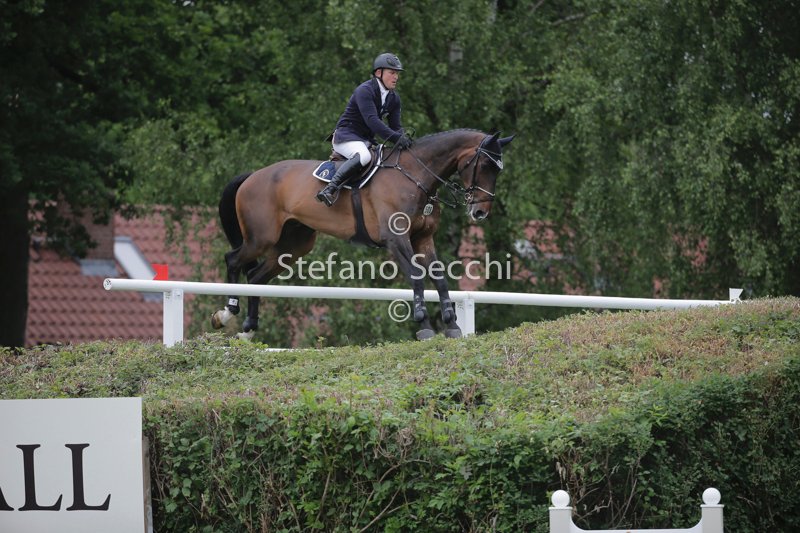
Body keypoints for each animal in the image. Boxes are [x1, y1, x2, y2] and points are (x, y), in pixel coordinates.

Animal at [210, 129, 514, 341]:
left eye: (498, 170)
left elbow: (438, 277)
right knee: (233, 260)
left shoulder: (423, 238)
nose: (480, 213)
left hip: (294, 245)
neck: (416, 175)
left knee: (256, 277)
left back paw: (248, 329)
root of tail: (253, 175)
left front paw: (451, 323)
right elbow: (417, 278)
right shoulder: (396, 240)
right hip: (261, 237)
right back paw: (226, 313)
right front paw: (424, 325)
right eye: (484, 166)